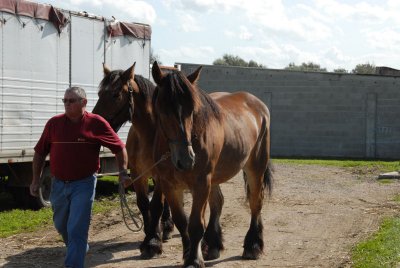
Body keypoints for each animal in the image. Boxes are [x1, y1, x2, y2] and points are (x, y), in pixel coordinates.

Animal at [92, 62, 173, 258]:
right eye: (99, 93)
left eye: (115, 94)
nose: (97, 124)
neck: (148, 135)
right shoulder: (138, 174)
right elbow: (143, 204)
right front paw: (149, 235)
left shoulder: (160, 174)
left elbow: (156, 205)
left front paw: (153, 243)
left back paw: (167, 227)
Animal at [152, 62, 274, 268]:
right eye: (163, 108)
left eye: (192, 109)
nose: (186, 160)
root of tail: (258, 105)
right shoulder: (170, 185)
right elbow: (182, 222)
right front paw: (189, 253)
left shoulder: (201, 183)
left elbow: (195, 224)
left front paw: (193, 260)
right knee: (218, 202)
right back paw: (213, 246)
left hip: (255, 167)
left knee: (255, 202)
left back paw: (253, 246)